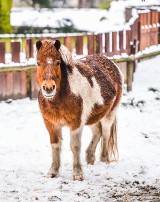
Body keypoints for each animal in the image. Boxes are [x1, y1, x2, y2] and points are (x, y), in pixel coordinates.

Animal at [35, 38, 123, 181]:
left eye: (58, 62)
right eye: (38, 62)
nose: (48, 88)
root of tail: (111, 64)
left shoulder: (76, 124)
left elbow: (75, 146)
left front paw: (77, 174)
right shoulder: (51, 124)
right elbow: (55, 145)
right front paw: (53, 171)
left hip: (109, 114)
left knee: (105, 134)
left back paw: (103, 159)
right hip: (92, 117)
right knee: (97, 132)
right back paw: (90, 157)